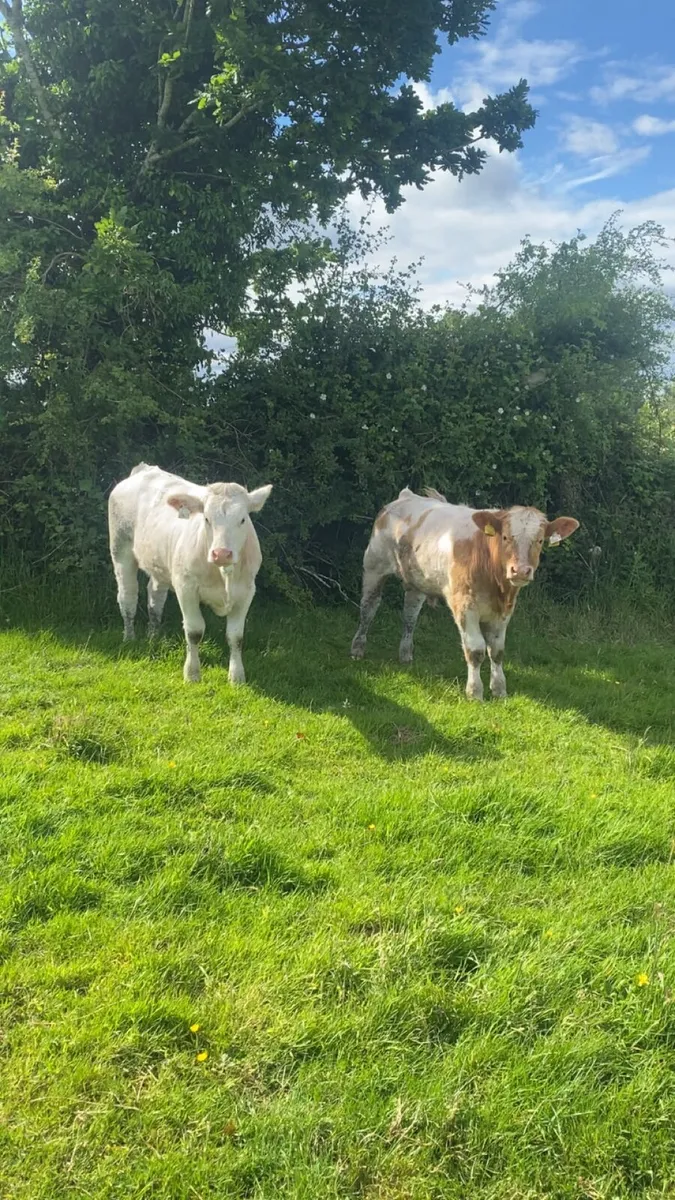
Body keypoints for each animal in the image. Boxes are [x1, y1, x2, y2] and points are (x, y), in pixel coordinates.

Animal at [108, 464, 272, 684]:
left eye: (243, 519)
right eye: (206, 519)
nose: (221, 553)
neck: (223, 574)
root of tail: (144, 469)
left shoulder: (246, 591)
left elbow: (236, 636)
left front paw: (236, 677)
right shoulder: (185, 587)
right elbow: (194, 631)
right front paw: (192, 673)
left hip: (160, 563)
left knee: (154, 597)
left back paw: (153, 636)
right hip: (120, 550)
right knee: (127, 597)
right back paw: (129, 638)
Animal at [350, 487, 579, 700]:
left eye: (539, 541)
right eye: (505, 537)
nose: (521, 571)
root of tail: (406, 496)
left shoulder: (504, 612)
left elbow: (497, 651)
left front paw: (499, 690)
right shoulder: (464, 606)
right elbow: (476, 650)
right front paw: (475, 692)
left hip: (416, 582)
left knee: (409, 616)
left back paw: (405, 655)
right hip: (374, 566)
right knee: (368, 608)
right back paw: (357, 649)